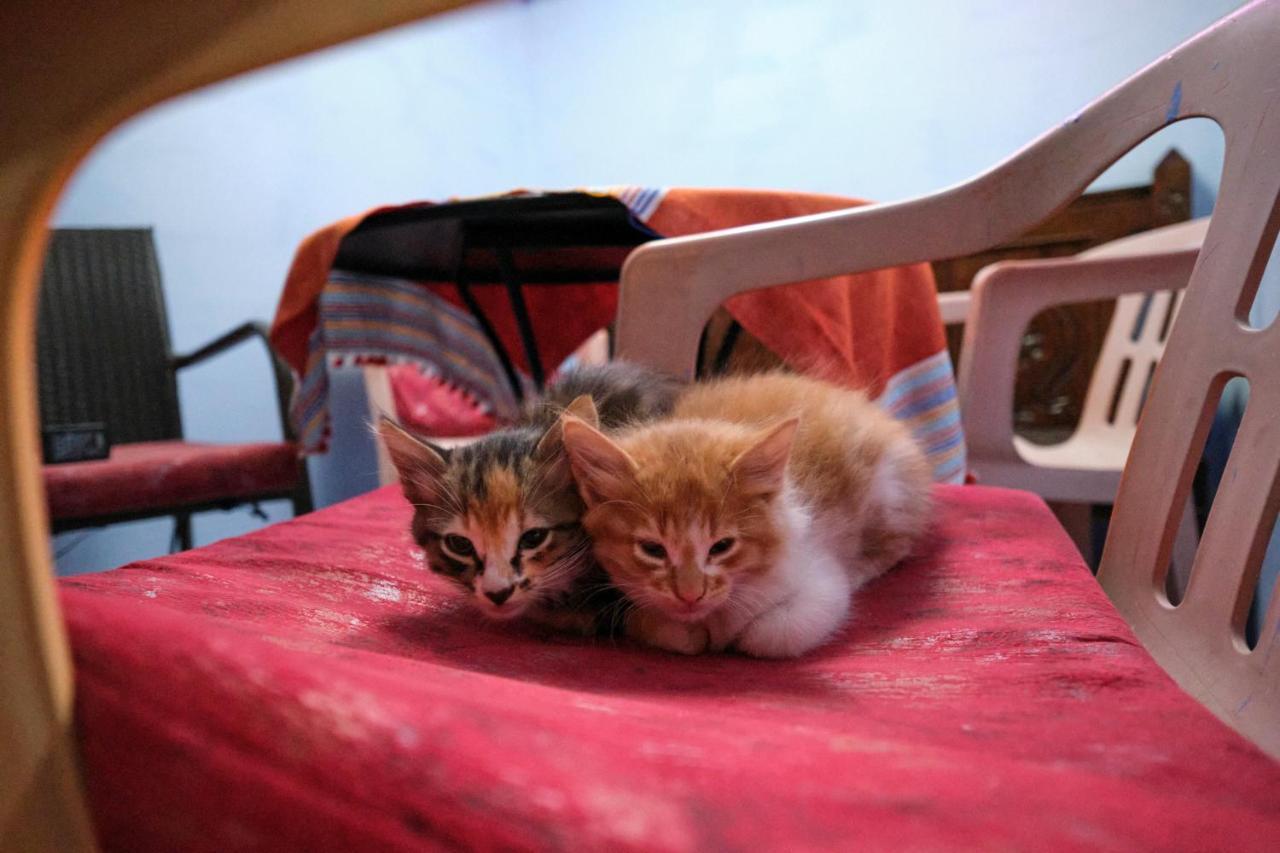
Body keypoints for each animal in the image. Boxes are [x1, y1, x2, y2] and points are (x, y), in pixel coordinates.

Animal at [560, 371, 931, 655]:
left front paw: (731, 634)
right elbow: (666, 630)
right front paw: (690, 632)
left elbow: (771, 634)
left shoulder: (819, 579)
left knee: (898, 544)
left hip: (890, 489)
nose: (691, 595)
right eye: (652, 549)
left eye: (722, 546)